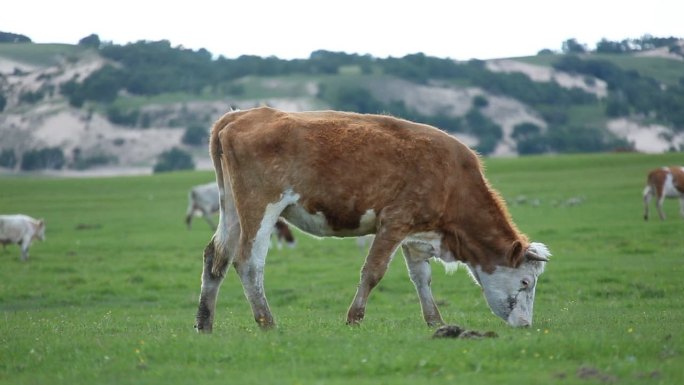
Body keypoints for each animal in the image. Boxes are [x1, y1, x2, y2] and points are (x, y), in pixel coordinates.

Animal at [194, 106, 552, 332]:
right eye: (525, 282)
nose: (525, 325)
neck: (453, 181)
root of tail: (239, 115)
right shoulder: (394, 223)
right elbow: (373, 272)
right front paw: (354, 318)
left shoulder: (415, 235)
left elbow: (422, 278)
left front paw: (436, 322)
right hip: (260, 208)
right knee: (248, 262)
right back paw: (267, 322)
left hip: (231, 209)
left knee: (216, 257)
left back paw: (205, 323)